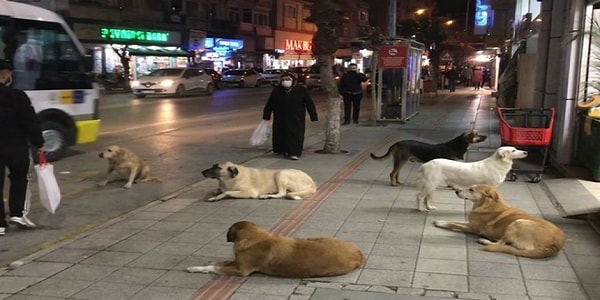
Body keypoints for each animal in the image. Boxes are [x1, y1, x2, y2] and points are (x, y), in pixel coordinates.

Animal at [186, 220, 366, 276]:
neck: (254, 237)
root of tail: (359, 253)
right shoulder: (237, 262)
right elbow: (221, 262)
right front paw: (201, 265)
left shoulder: (242, 270)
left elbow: (216, 267)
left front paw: (197, 268)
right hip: (314, 237)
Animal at [434, 184, 564, 258]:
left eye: (471, 190)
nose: (456, 191)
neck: (487, 204)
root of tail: (556, 245)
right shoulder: (470, 223)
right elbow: (456, 221)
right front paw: (441, 220)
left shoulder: (473, 228)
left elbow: (454, 223)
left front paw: (441, 223)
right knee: (504, 243)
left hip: (518, 222)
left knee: (502, 244)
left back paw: (485, 241)